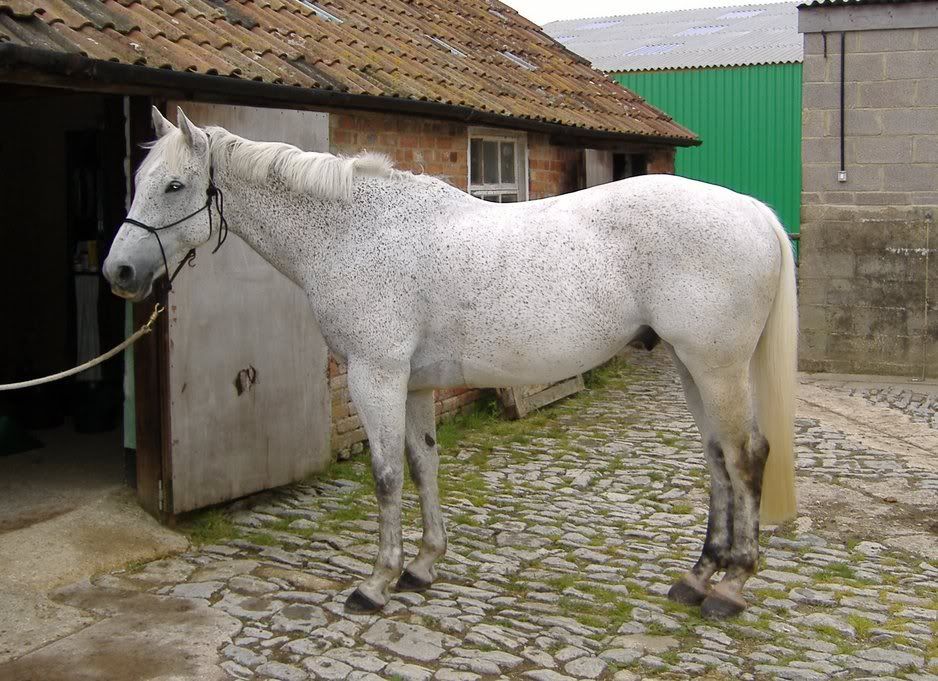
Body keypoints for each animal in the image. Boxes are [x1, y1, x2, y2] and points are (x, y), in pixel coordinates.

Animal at [104, 107, 797, 620]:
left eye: (174, 186)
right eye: (138, 180)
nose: (120, 272)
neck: (353, 232)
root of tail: (754, 210)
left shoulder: (375, 375)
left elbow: (386, 475)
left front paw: (375, 583)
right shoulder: (412, 384)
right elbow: (423, 464)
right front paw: (422, 565)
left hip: (716, 367)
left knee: (745, 457)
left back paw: (731, 587)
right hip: (690, 365)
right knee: (717, 460)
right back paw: (697, 577)